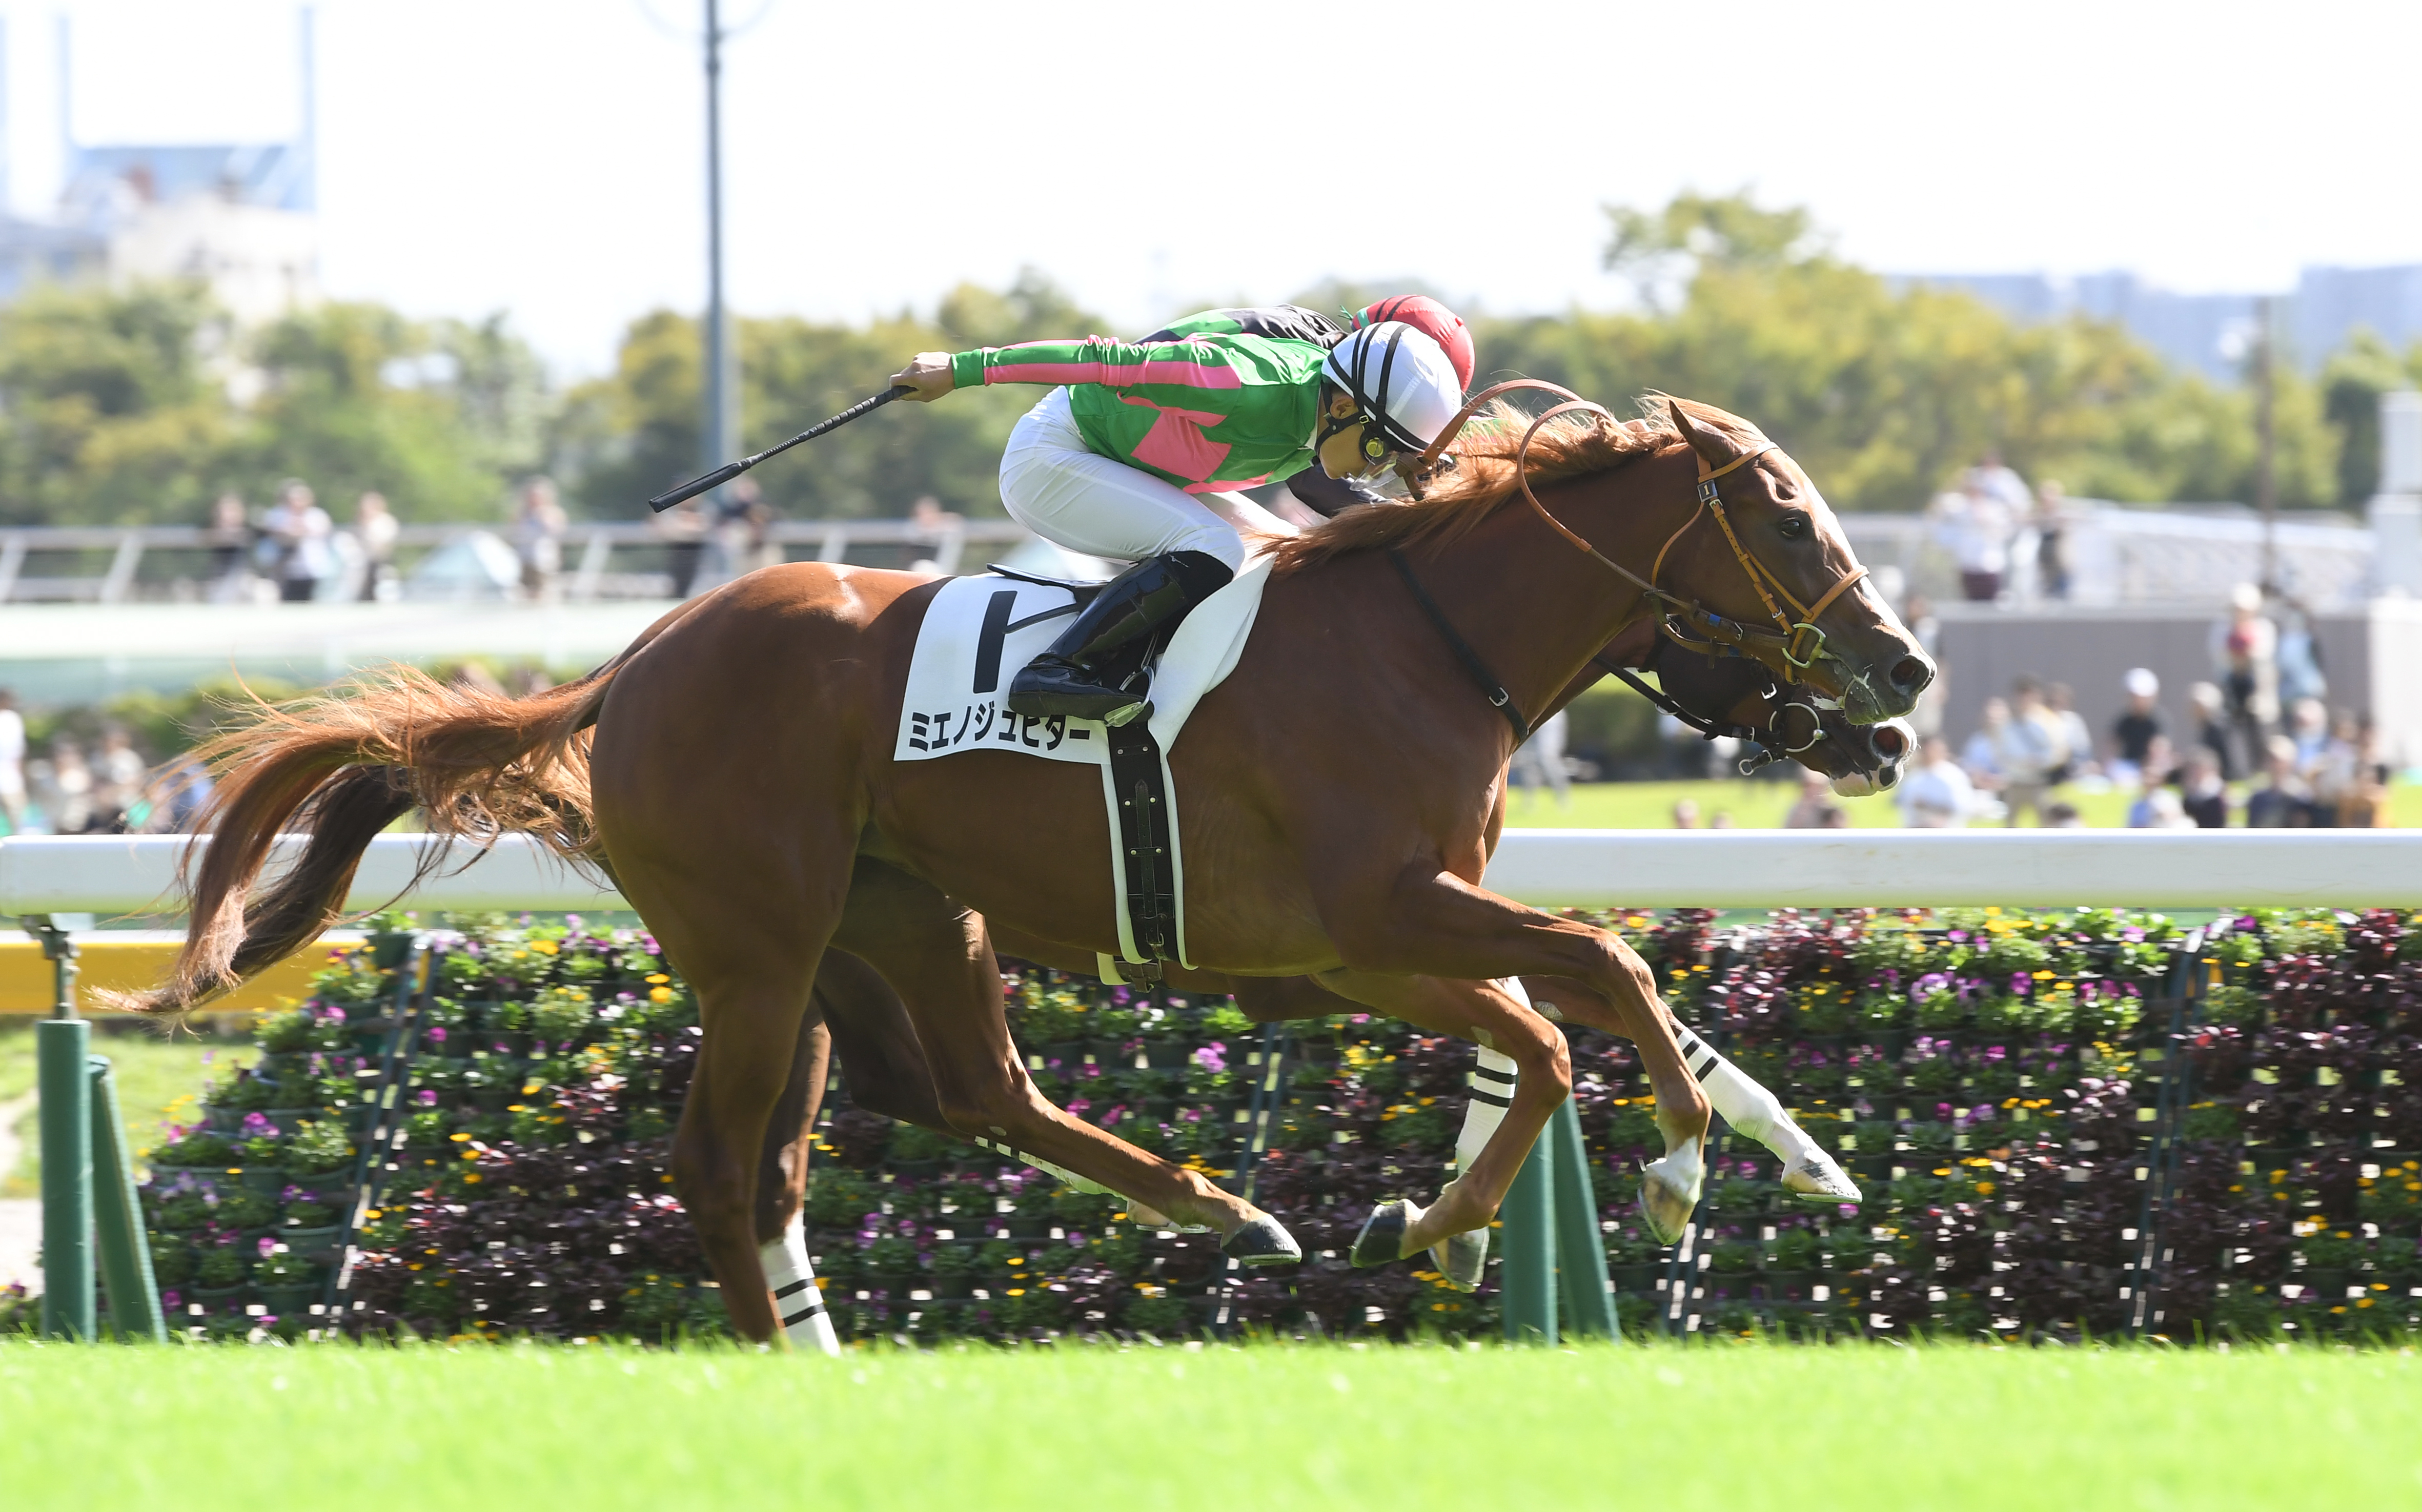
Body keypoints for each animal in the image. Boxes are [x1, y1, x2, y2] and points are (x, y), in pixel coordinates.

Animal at [123, 395, 1928, 1337]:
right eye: (1784, 515)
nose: (1901, 677)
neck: (1427, 642)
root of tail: (626, 664)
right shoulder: (1371, 920)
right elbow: (1579, 1002)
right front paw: (1613, 1182)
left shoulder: (1367, 943)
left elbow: (1578, 1003)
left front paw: (1494, 1204)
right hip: (756, 948)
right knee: (725, 1159)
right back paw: (788, 1351)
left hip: (901, 918)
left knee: (943, 1101)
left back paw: (1212, 1210)